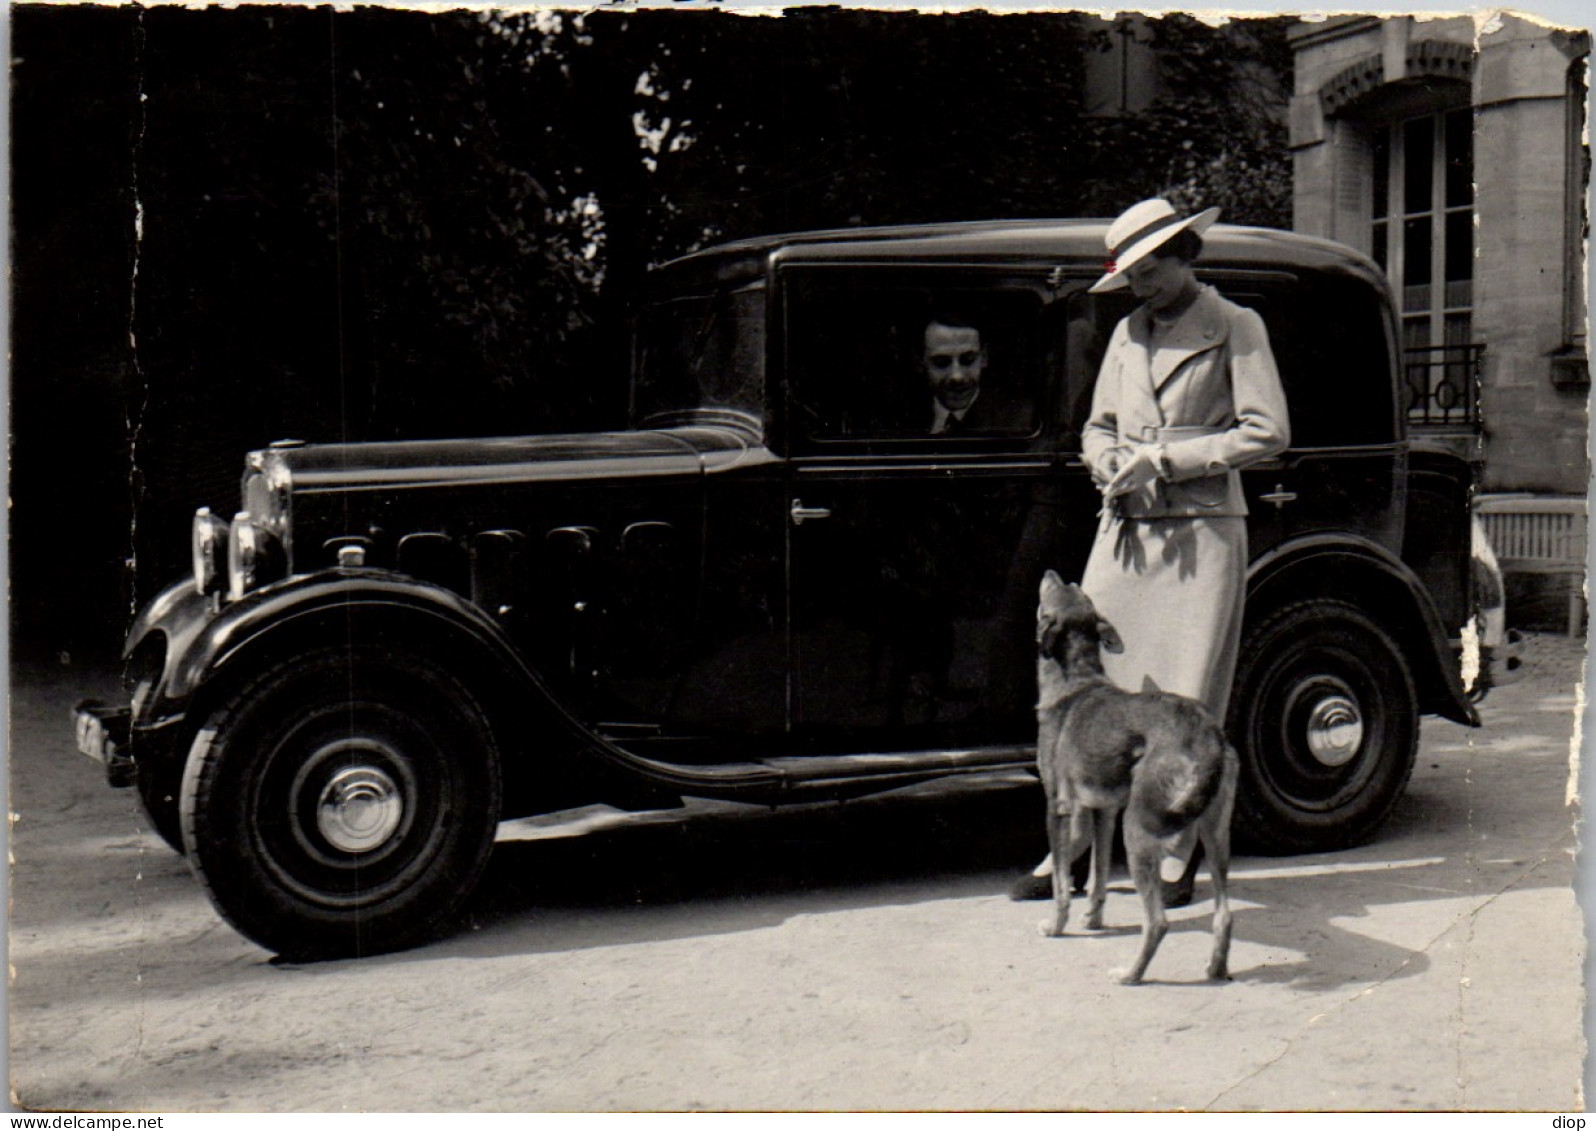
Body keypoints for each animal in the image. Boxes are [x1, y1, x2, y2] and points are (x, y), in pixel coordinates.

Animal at [1027, 567, 1238, 982]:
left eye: (1054, 592)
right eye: (1075, 589)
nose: (1050, 571)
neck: (1076, 682)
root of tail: (1207, 735)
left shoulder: (1057, 808)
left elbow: (1061, 881)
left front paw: (1057, 926)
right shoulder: (1103, 811)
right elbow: (1098, 876)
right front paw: (1093, 919)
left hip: (1139, 828)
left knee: (1157, 922)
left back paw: (1131, 974)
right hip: (1214, 833)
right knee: (1224, 914)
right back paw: (1216, 968)